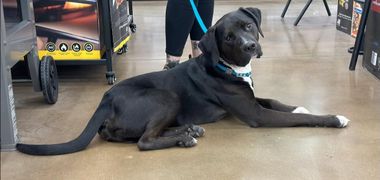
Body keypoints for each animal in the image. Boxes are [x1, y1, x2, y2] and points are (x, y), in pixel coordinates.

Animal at [17, 7, 350, 155]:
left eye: (248, 26)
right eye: (229, 38)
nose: (250, 46)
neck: (225, 66)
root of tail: (104, 100)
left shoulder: (252, 97)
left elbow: (279, 102)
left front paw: (301, 107)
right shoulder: (256, 114)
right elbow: (294, 118)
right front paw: (334, 118)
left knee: (132, 135)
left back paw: (187, 129)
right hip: (166, 97)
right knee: (143, 142)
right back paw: (183, 137)